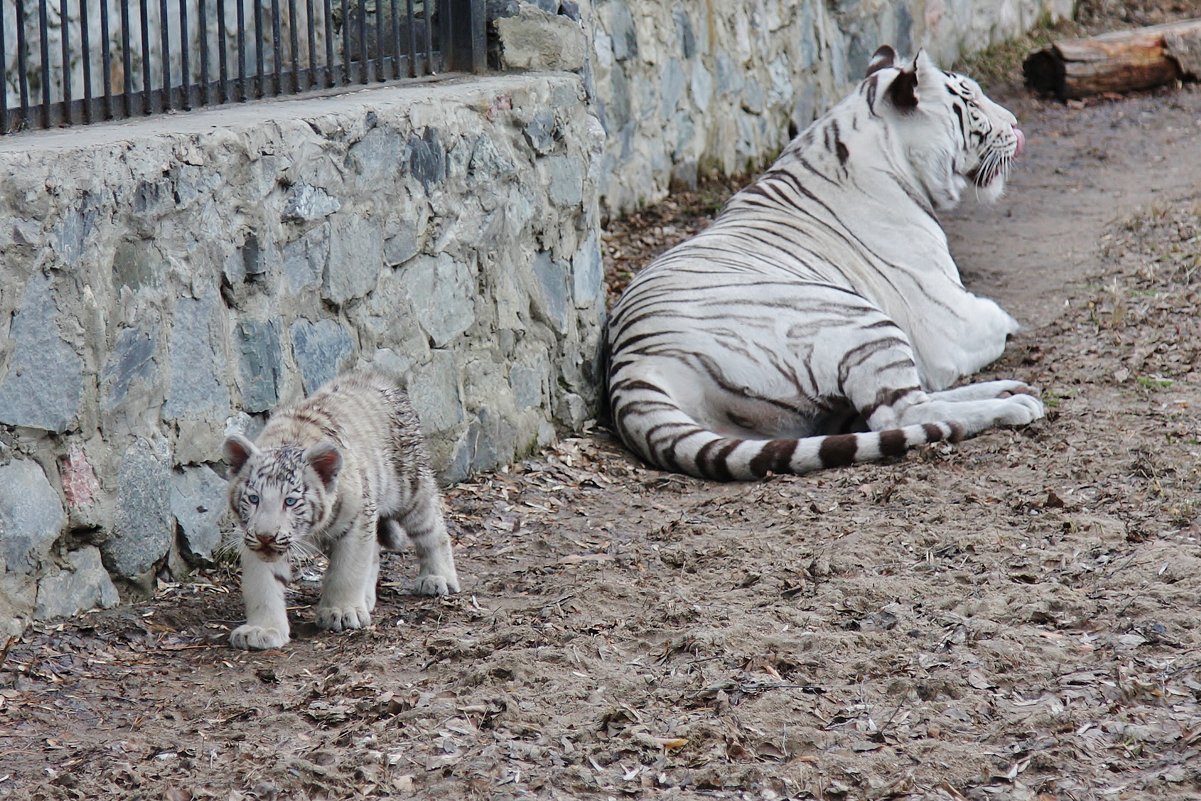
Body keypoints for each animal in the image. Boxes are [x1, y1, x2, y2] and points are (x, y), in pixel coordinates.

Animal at [610, 47, 1042, 480]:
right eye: (971, 102)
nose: (1015, 123)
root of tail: (631, 365)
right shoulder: (945, 326)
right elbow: (993, 321)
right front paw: (1008, 323)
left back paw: (1011, 389)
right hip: (861, 322)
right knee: (902, 413)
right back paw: (1012, 404)